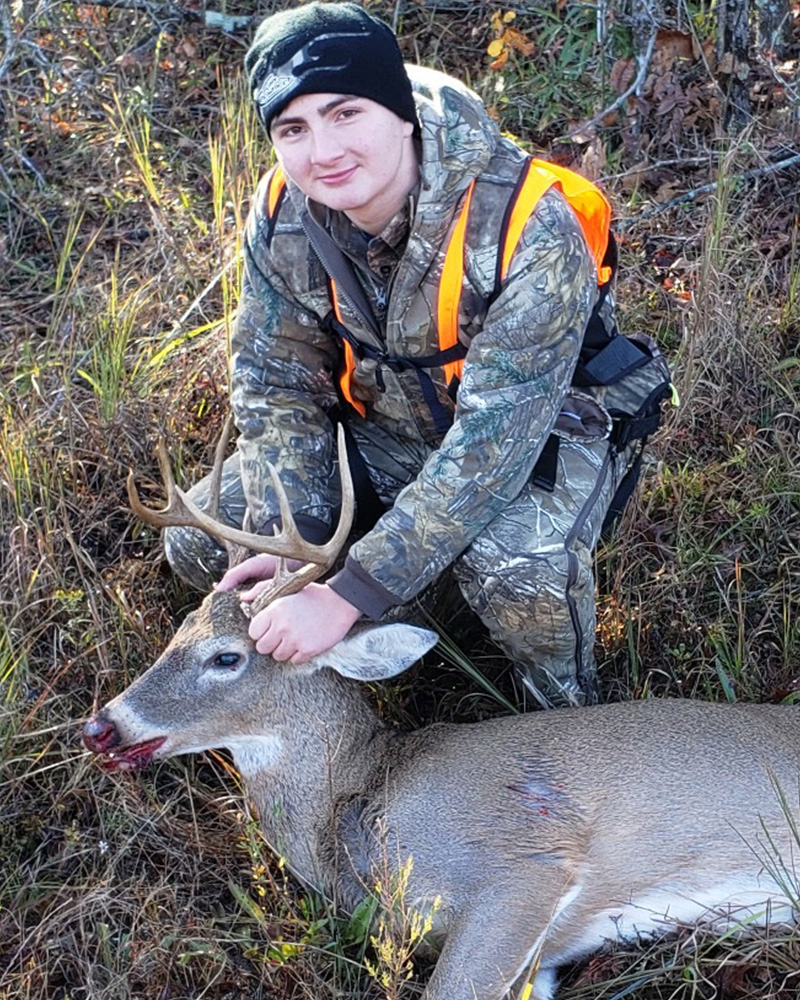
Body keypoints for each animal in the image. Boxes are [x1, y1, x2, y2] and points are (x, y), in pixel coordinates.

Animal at [84, 420, 800, 1000]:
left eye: (227, 657)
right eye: (177, 631)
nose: (102, 725)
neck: (359, 802)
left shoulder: (522, 867)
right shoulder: (539, 956)